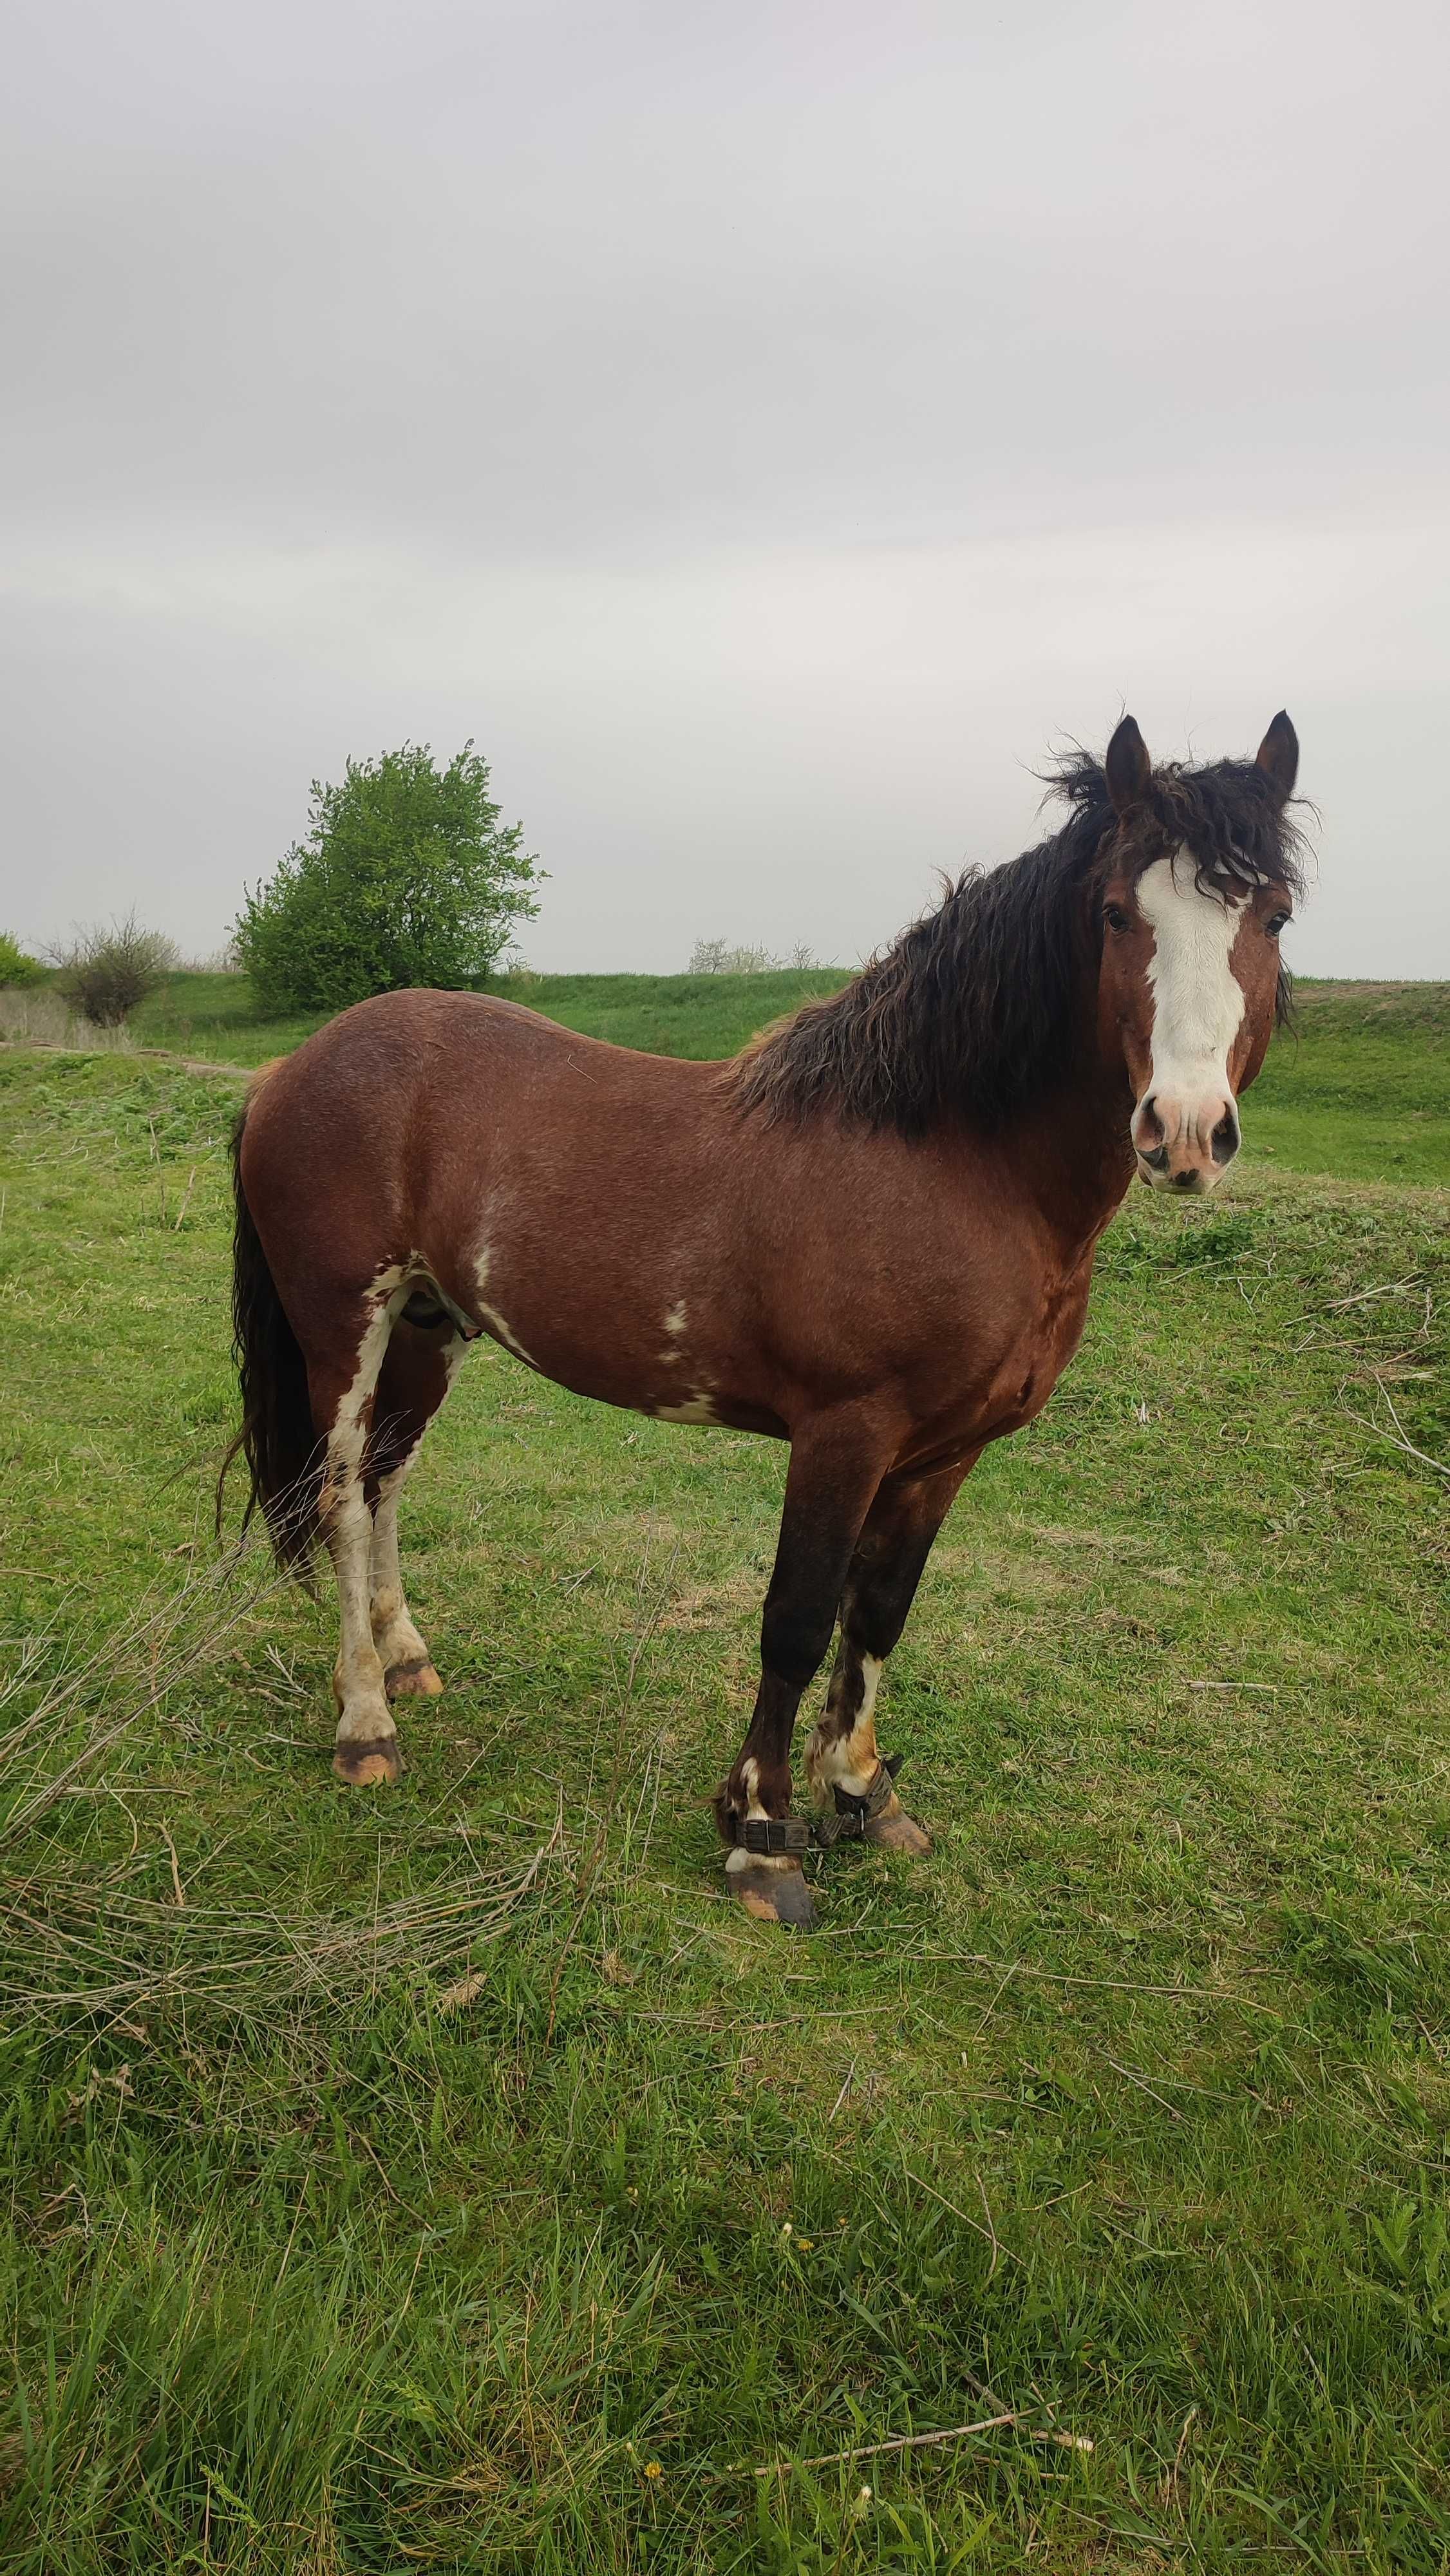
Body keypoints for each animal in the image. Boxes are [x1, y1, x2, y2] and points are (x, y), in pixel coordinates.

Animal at [224, 716, 1303, 1927]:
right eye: (1119, 913)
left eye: (1272, 915)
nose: (1184, 1131)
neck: (951, 1162)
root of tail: (291, 1066)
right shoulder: (844, 1435)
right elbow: (795, 1618)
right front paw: (761, 1837)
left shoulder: (944, 1456)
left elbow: (878, 1616)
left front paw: (864, 1798)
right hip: (344, 1334)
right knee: (339, 1499)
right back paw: (366, 1723)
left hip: (428, 1326)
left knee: (384, 1484)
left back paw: (404, 1655)